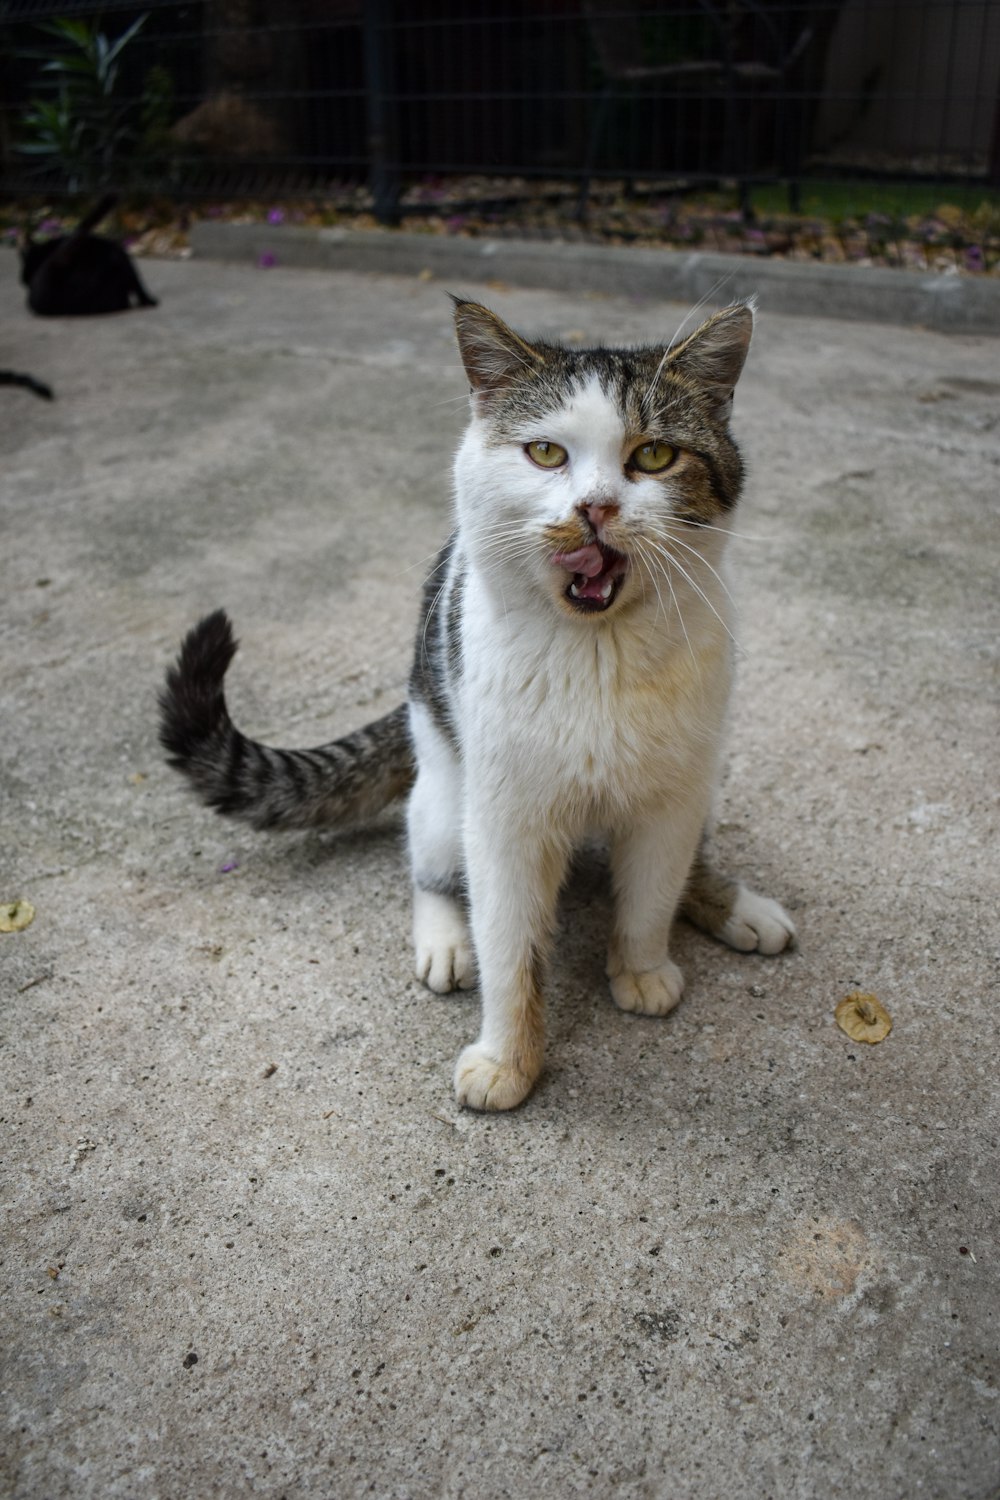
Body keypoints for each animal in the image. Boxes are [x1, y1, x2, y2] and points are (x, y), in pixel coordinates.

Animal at [160, 295, 791, 1116]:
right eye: (546, 453)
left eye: (654, 457)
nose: (595, 507)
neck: (600, 654)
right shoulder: (504, 819)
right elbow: (510, 948)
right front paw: (507, 1059)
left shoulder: (670, 801)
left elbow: (653, 892)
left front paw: (642, 965)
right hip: (445, 788)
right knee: (427, 863)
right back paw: (445, 939)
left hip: (698, 784)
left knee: (688, 862)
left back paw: (740, 908)